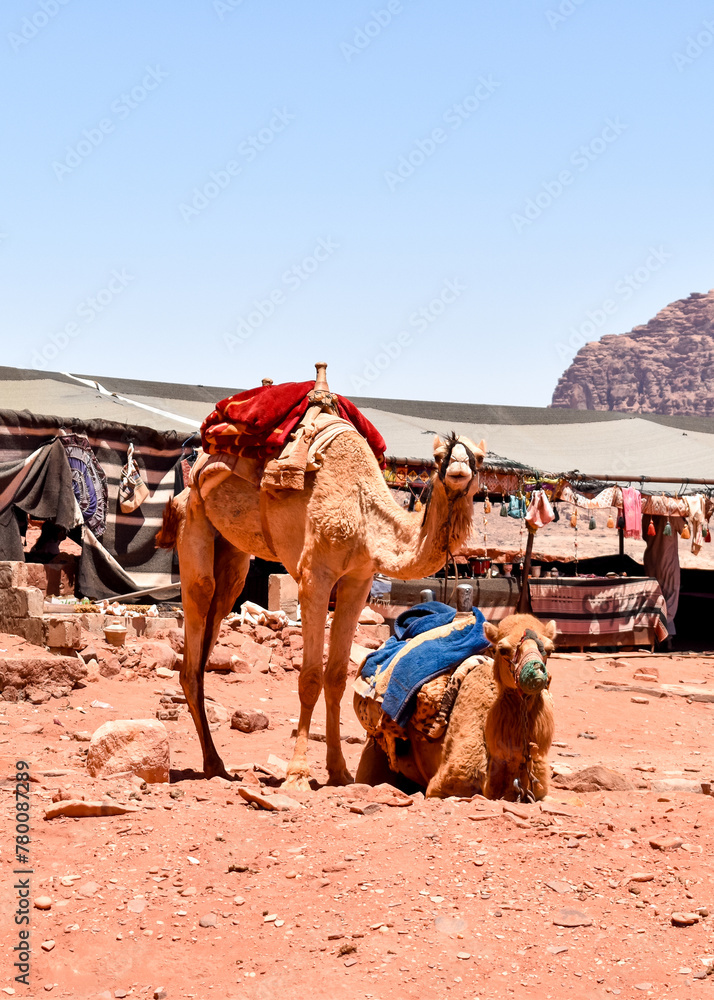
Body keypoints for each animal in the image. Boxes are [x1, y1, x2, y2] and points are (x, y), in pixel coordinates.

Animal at [156, 365, 486, 788]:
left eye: (478, 457)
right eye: (442, 457)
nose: (459, 470)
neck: (363, 510)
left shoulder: (358, 580)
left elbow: (337, 676)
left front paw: (340, 771)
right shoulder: (315, 576)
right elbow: (310, 677)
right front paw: (297, 773)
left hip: (232, 555)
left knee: (211, 628)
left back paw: (216, 764)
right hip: (194, 520)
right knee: (196, 619)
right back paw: (214, 765)